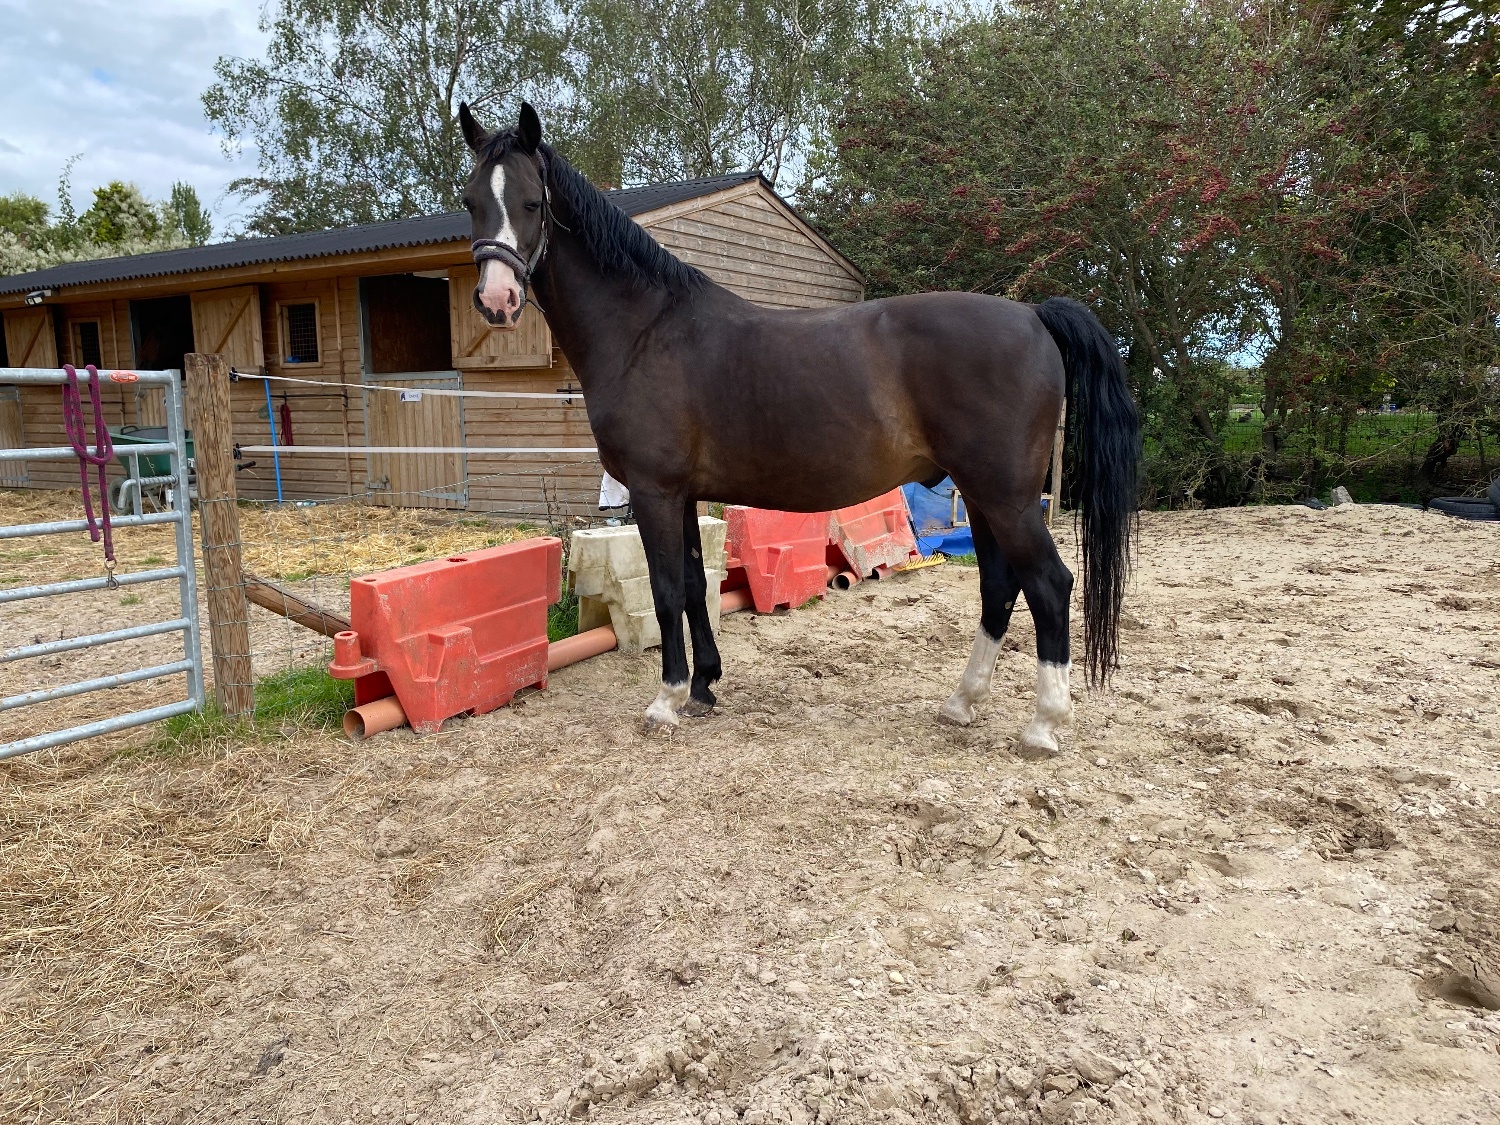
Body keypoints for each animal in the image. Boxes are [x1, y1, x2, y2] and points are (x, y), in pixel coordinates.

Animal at [458, 102, 1141, 757]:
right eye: (470, 200)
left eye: (532, 201)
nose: (496, 300)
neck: (646, 331)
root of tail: (1033, 315)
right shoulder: (684, 495)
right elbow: (696, 587)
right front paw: (704, 687)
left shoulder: (654, 492)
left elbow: (667, 589)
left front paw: (667, 699)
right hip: (981, 495)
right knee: (1000, 586)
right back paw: (961, 703)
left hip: (1007, 498)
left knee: (1048, 585)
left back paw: (1042, 726)